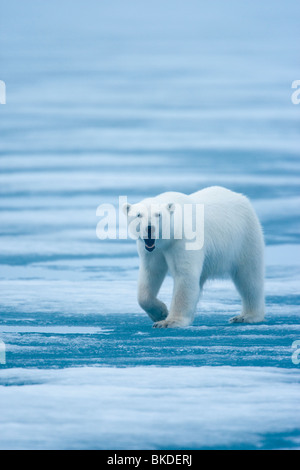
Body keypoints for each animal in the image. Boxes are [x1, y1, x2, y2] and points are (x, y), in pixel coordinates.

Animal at [122, 186, 264, 326]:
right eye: (138, 215)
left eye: (158, 214)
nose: (150, 228)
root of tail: (241, 197)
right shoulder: (152, 251)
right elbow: (151, 274)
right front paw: (160, 313)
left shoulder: (184, 240)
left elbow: (185, 275)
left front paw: (170, 321)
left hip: (245, 237)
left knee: (249, 277)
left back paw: (247, 316)